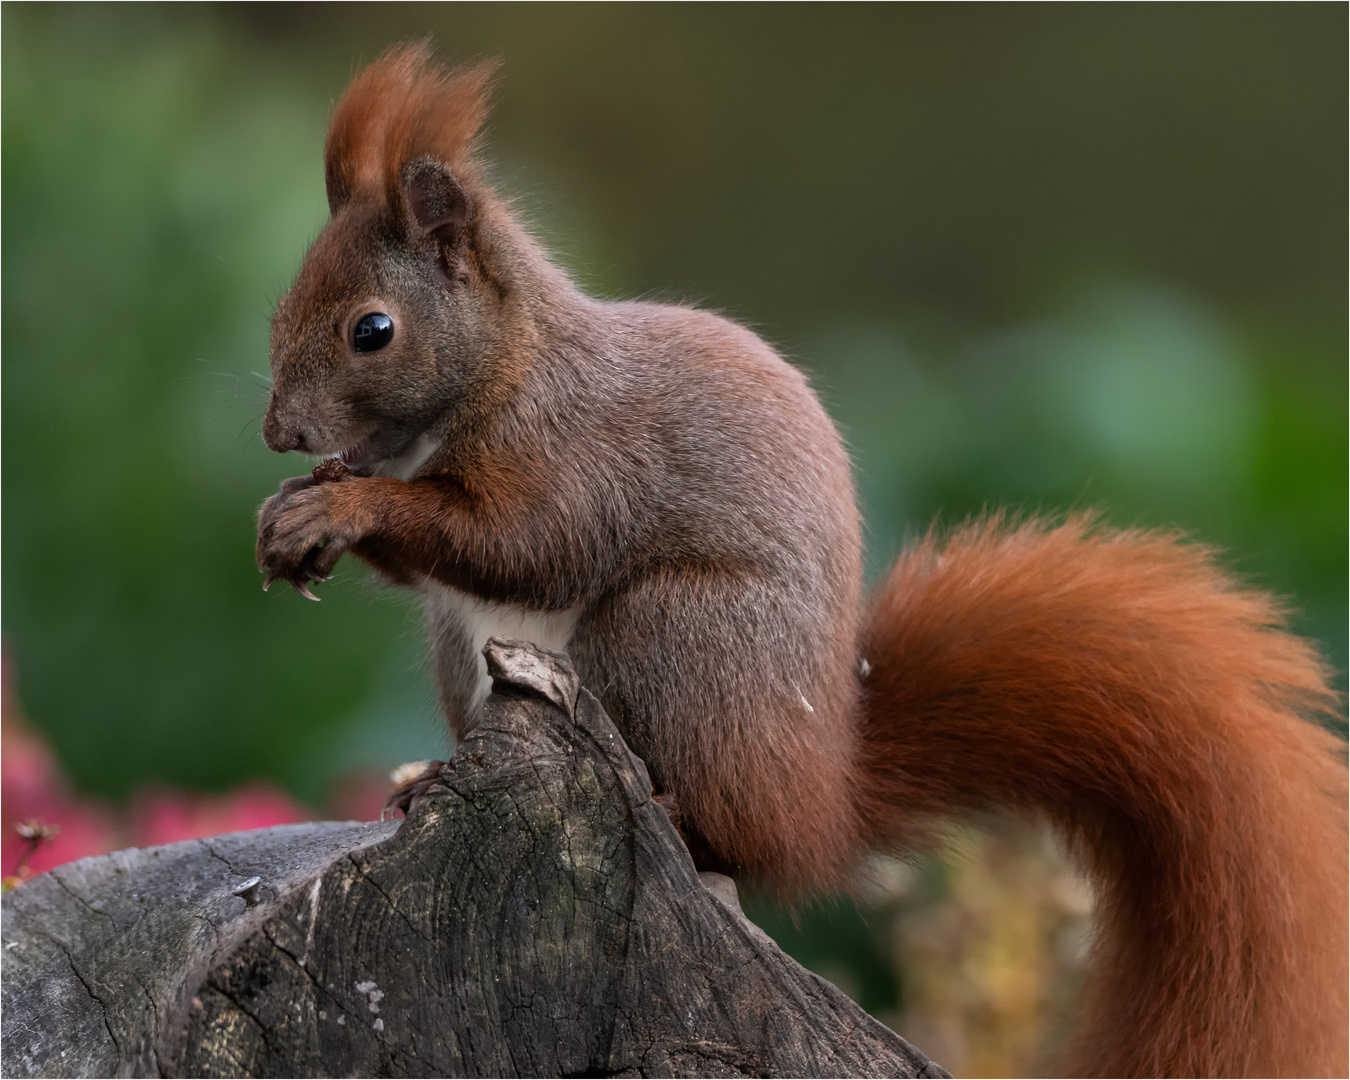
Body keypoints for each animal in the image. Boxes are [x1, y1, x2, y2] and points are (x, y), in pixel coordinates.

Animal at [257, 44, 1344, 1080]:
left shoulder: (580, 457)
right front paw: (291, 512)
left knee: (728, 838)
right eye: (279, 311)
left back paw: (670, 811)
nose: (278, 433)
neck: (504, 368)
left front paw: (342, 505)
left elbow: (530, 546)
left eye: (372, 330)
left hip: (675, 635)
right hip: (468, 652)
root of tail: (821, 794)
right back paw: (429, 777)